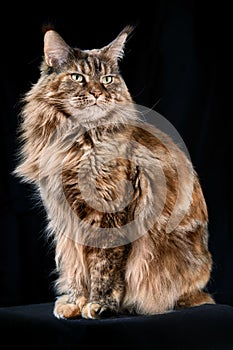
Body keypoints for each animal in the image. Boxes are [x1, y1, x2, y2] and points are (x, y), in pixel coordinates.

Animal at [14, 24, 215, 320]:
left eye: (108, 79)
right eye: (78, 77)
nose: (98, 93)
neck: (78, 140)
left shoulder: (110, 212)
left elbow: (103, 266)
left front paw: (100, 304)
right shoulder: (66, 217)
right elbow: (76, 267)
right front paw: (74, 302)